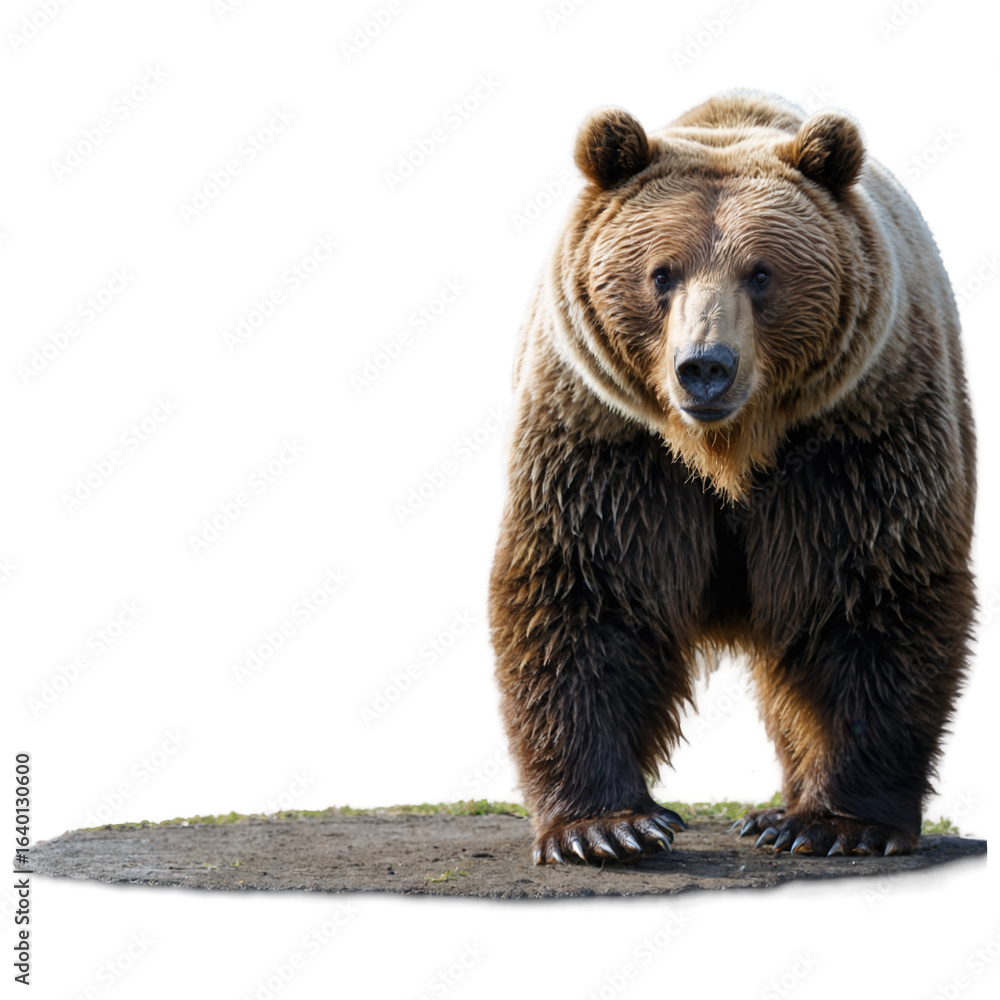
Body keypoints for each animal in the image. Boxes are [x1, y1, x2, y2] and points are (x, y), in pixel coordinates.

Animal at [488, 91, 976, 864]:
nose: (705, 367)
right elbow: (585, 589)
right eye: (661, 273)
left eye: (761, 272)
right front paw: (607, 827)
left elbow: (869, 595)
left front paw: (833, 824)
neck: (726, 450)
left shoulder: (855, 440)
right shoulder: (608, 441)